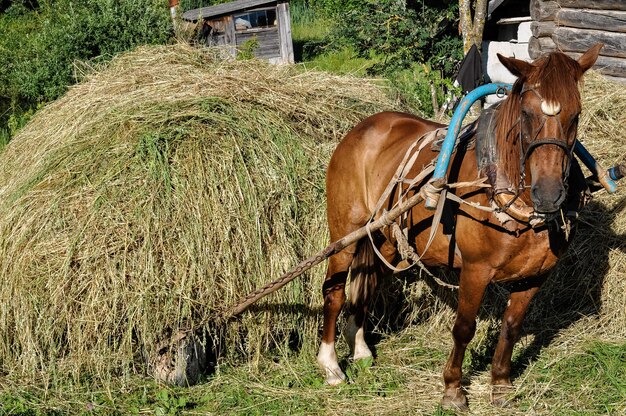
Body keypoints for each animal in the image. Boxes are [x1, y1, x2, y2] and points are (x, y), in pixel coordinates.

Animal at [316, 45, 600, 410]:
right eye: (525, 114)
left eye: (576, 115)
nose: (549, 194)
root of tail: (362, 128)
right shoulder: (475, 271)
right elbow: (464, 327)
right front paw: (452, 388)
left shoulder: (535, 276)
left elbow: (511, 326)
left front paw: (501, 384)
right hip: (345, 233)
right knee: (335, 291)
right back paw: (330, 365)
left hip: (389, 239)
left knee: (370, 282)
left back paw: (361, 347)